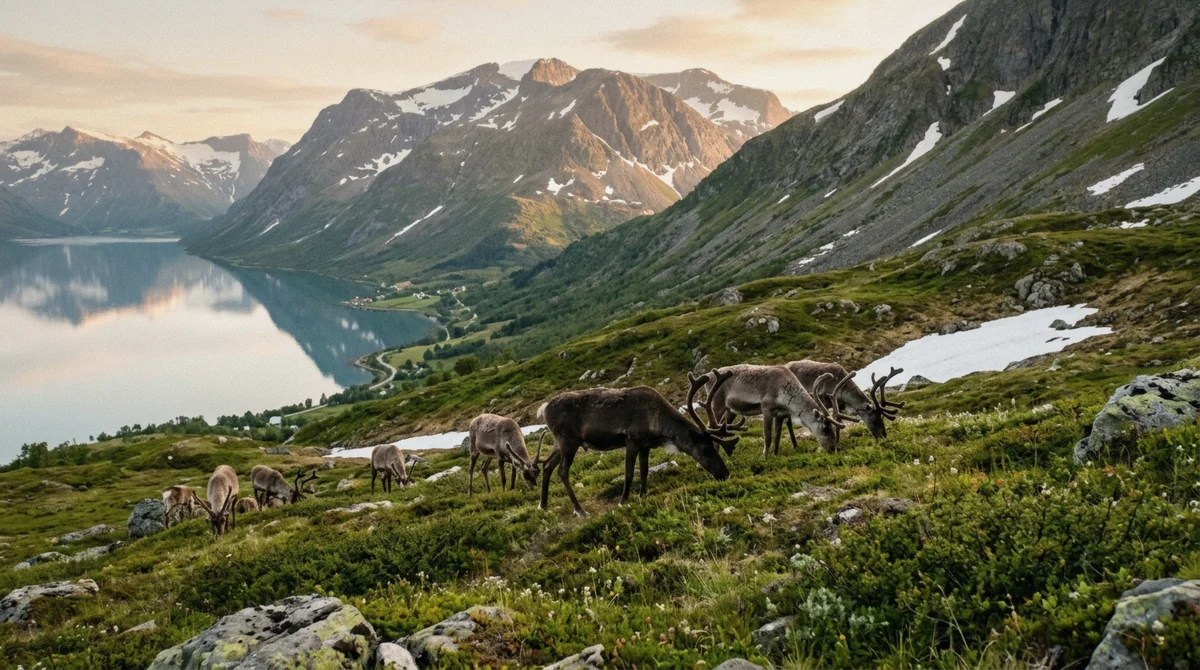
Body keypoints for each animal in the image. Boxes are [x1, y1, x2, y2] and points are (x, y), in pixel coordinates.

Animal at [536, 370, 740, 516]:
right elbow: (628, 474)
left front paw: (643, 495)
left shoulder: (645, 445)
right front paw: (622, 501)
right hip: (569, 442)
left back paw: (543, 505)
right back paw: (579, 510)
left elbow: (644, 471)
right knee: (562, 471)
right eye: (706, 449)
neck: (659, 421)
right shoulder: (632, 441)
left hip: (559, 444)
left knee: (547, 465)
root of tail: (544, 408)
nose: (725, 474)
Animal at [705, 364, 853, 456]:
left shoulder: (780, 414)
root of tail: (708, 375)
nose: (833, 448)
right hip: (717, 404)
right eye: (825, 428)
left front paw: (775, 455)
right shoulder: (767, 409)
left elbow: (777, 437)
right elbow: (768, 437)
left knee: (720, 428)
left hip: (730, 410)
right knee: (710, 426)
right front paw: (765, 458)